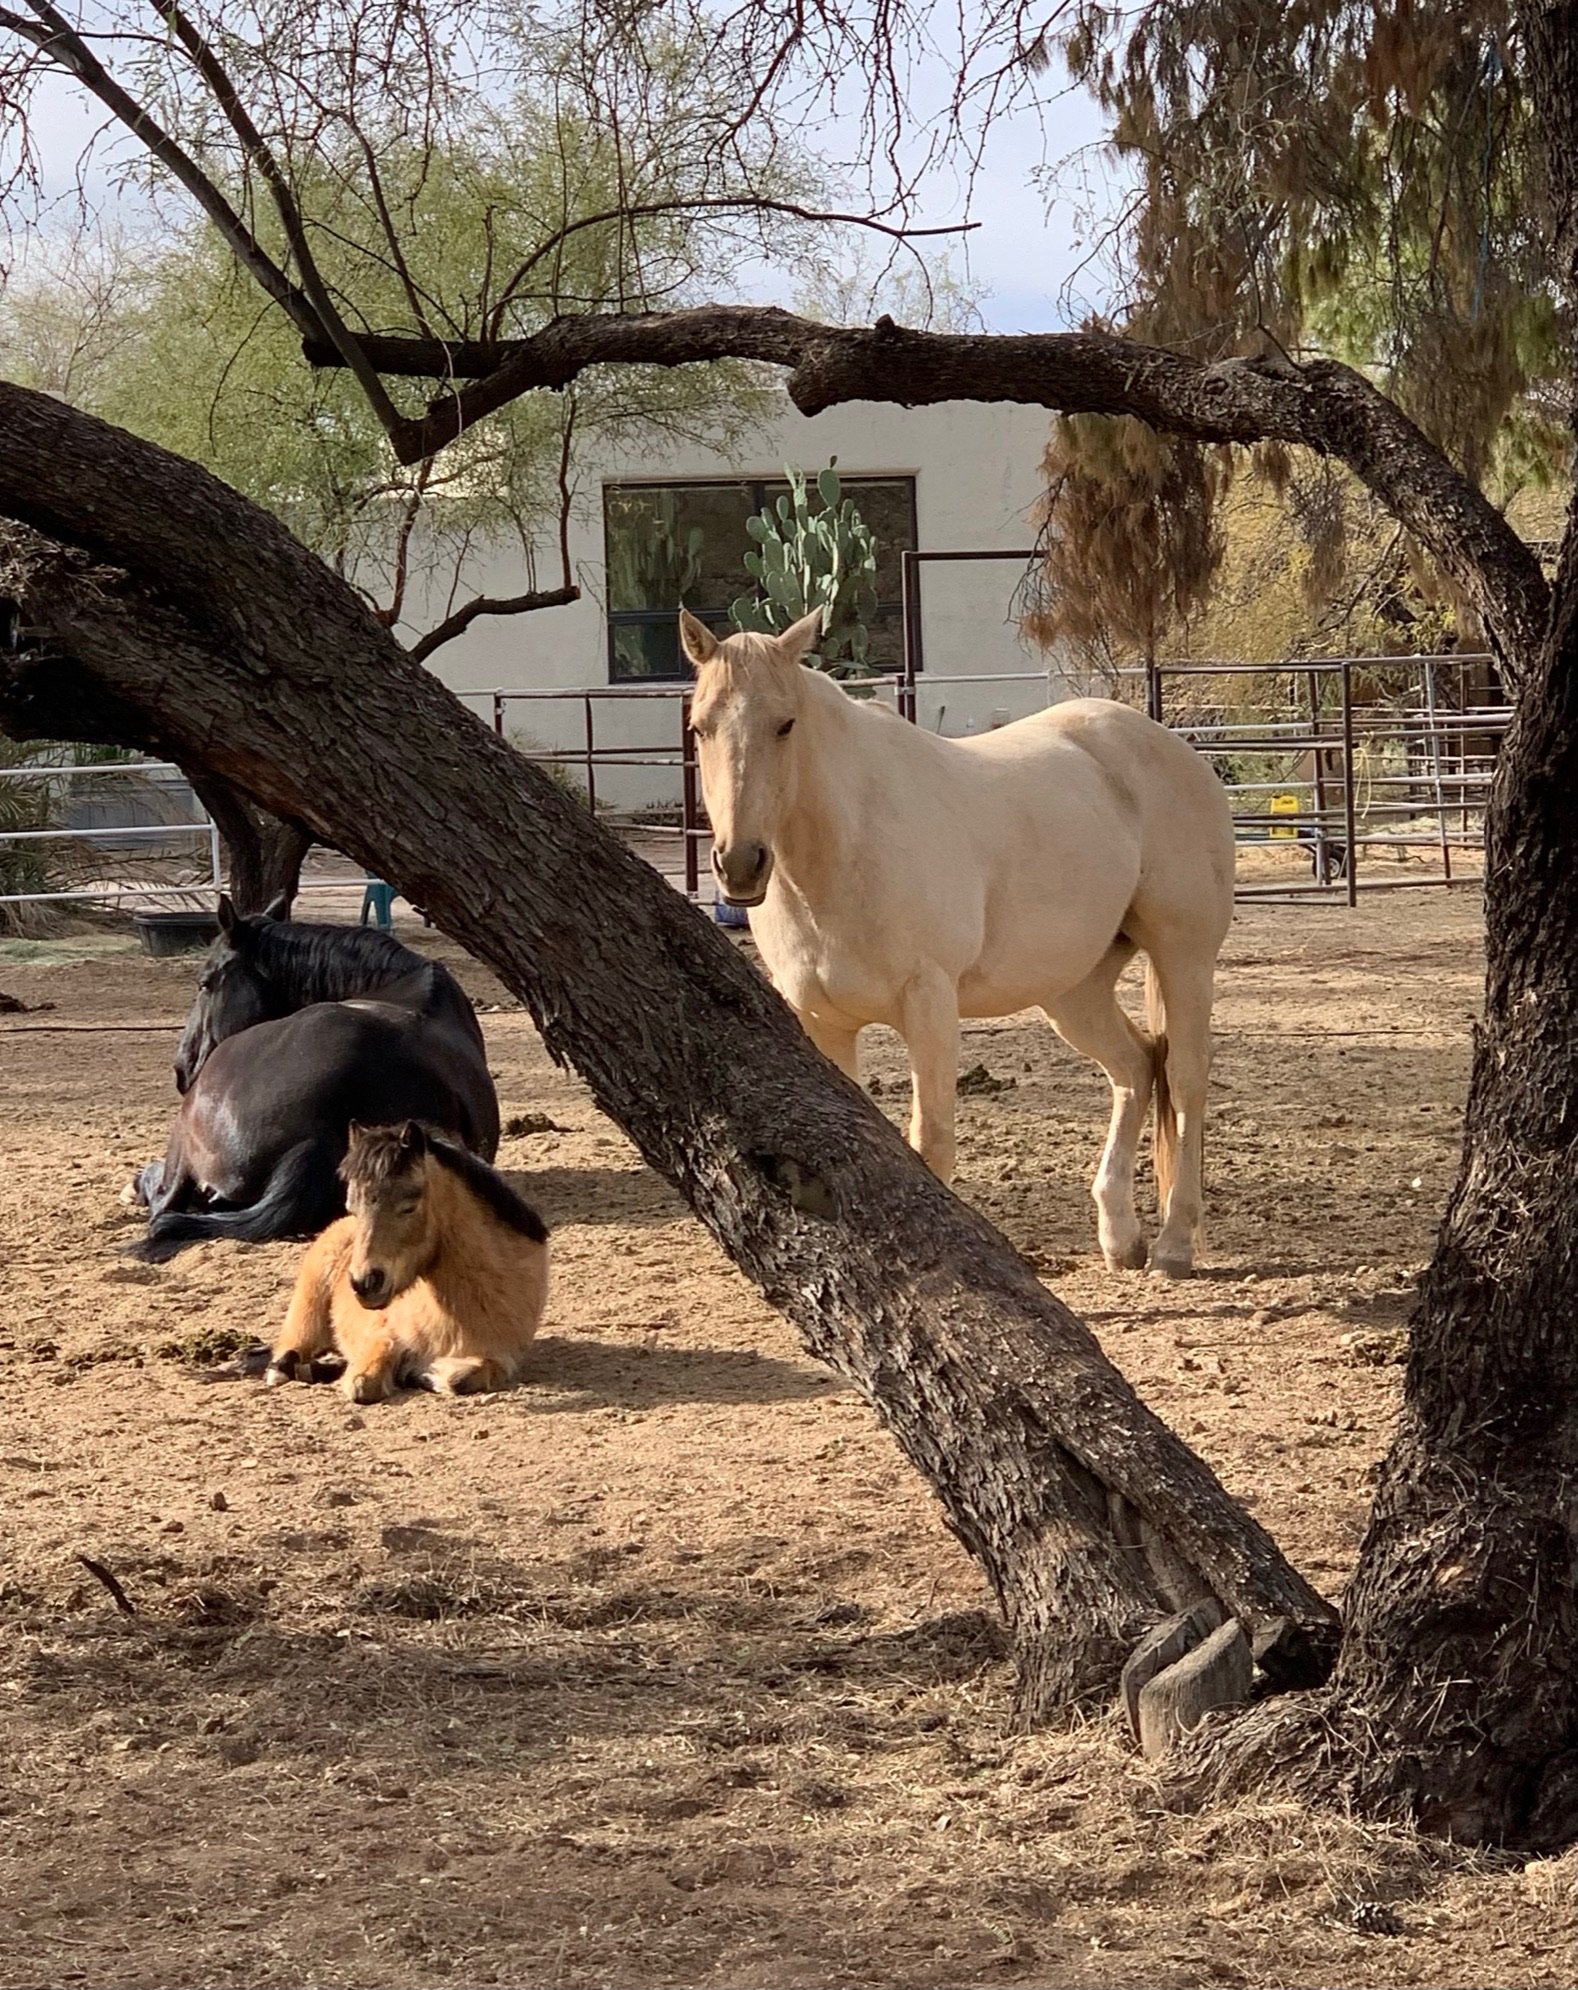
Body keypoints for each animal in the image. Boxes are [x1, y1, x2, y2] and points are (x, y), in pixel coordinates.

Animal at [265, 1119, 549, 1403]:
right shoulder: (381, 1335)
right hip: (306, 1320)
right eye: (352, 1208)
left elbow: (461, 1378)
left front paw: (422, 1374)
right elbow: (364, 1380)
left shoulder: (500, 1356)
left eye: (409, 1207)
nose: (365, 1283)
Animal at [680, 607, 1236, 1277]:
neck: (845, 847)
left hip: (1185, 957)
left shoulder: (929, 1005)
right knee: (1134, 1066)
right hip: (1073, 990)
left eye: (785, 724)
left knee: (1184, 1077)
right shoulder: (821, 1020)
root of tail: (1172, 749)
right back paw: (1120, 1237)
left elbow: (932, 1142)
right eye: (700, 727)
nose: (740, 864)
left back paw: (1174, 1244)